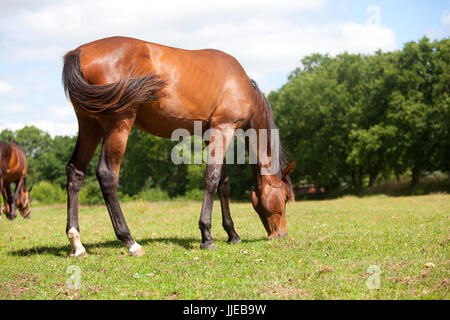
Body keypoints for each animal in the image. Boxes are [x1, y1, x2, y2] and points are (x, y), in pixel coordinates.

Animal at [62, 36, 296, 258]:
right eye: (285, 197)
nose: (282, 234)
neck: (241, 85)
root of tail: (79, 52)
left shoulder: (210, 134)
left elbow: (223, 183)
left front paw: (232, 234)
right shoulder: (224, 128)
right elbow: (212, 179)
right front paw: (206, 236)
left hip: (90, 126)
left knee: (75, 172)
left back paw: (77, 244)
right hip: (118, 124)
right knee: (107, 175)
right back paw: (130, 241)